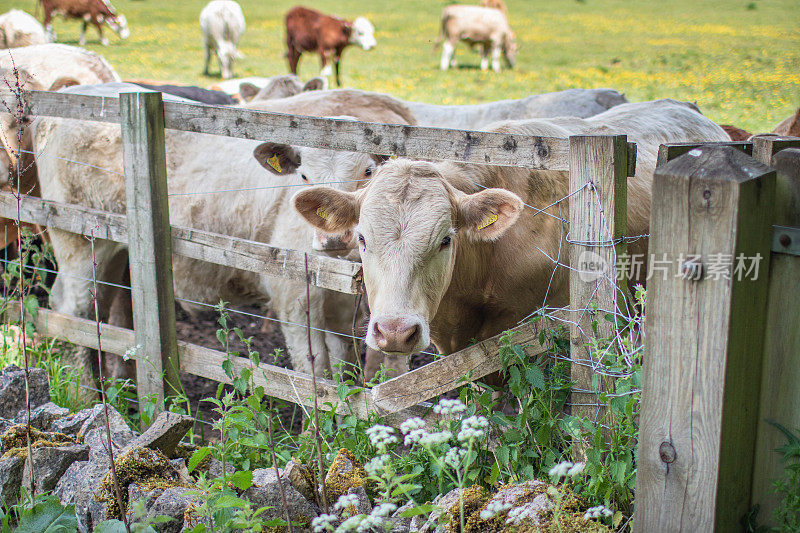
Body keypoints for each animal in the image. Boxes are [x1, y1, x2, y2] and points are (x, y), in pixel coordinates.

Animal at [31, 84, 416, 378]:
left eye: (367, 172)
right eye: (305, 176)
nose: (332, 237)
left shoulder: (341, 309)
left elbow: (343, 369)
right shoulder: (293, 300)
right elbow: (316, 373)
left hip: (114, 253)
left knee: (108, 316)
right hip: (79, 243)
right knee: (74, 313)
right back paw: (87, 391)